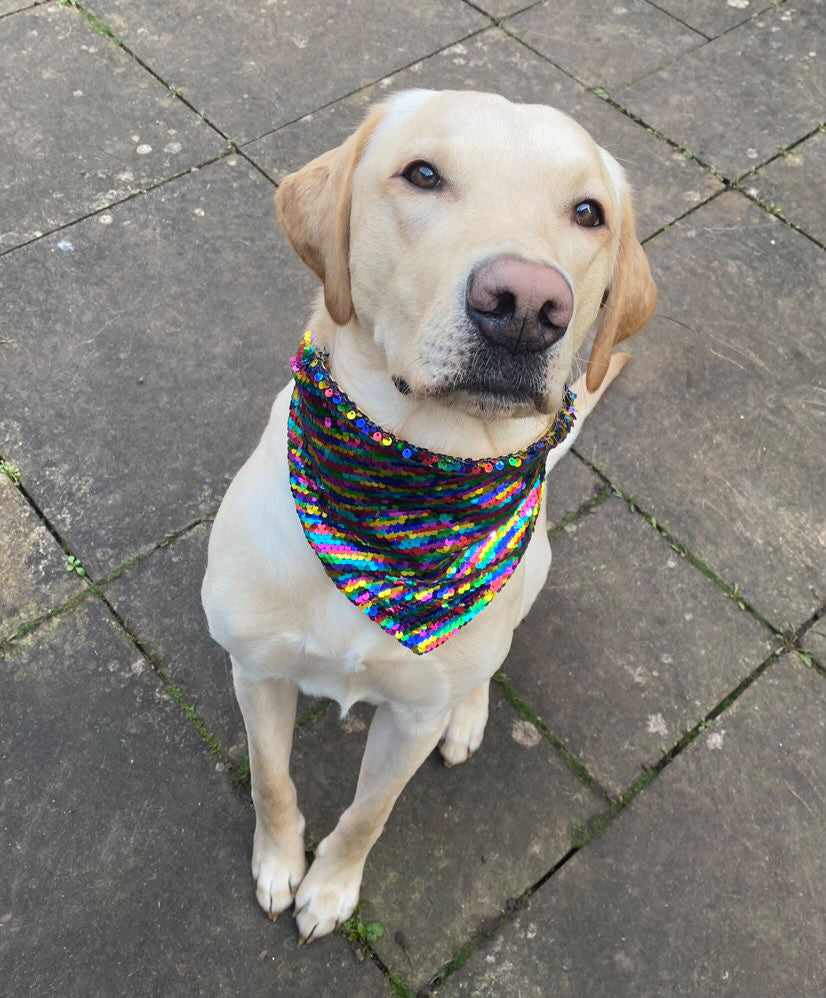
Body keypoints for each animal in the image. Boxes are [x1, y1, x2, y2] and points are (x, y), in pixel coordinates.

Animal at [201, 92, 656, 944]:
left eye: (589, 212)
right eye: (421, 174)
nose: (527, 305)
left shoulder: (409, 717)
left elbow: (367, 815)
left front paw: (330, 888)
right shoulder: (258, 671)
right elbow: (273, 782)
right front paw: (279, 865)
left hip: (530, 572)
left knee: (485, 663)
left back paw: (468, 715)